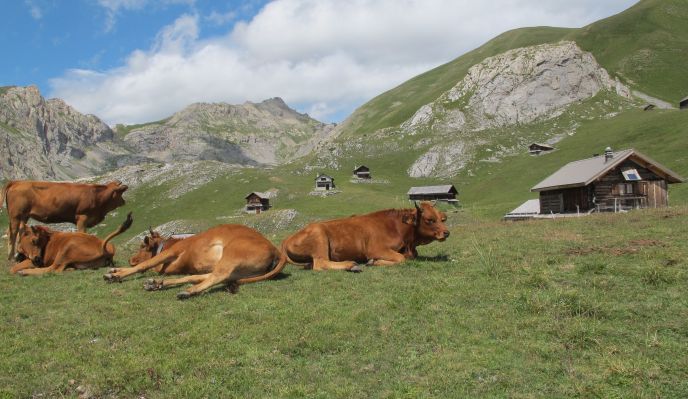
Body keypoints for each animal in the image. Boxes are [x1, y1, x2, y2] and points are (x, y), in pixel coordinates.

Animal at [103, 225, 286, 300]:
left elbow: (144, 265)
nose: (130, 259)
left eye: (142, 246)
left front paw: (116, 274)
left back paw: (189, 291)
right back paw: (157, 284)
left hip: (231, 256)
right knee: (201, 277)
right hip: (235, 269)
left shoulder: (172, 252)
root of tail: (276, 250)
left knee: (217, 277)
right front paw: (115, 270)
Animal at [280, 202, 448, 274]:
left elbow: (408, 257)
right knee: (320, 263)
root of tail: (287, 238)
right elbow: (401, 259)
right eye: (429, 220)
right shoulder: (376, 249)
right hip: (319, 235)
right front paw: (374, 262)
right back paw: (351, 265)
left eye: (442, 218)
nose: (447, 233)